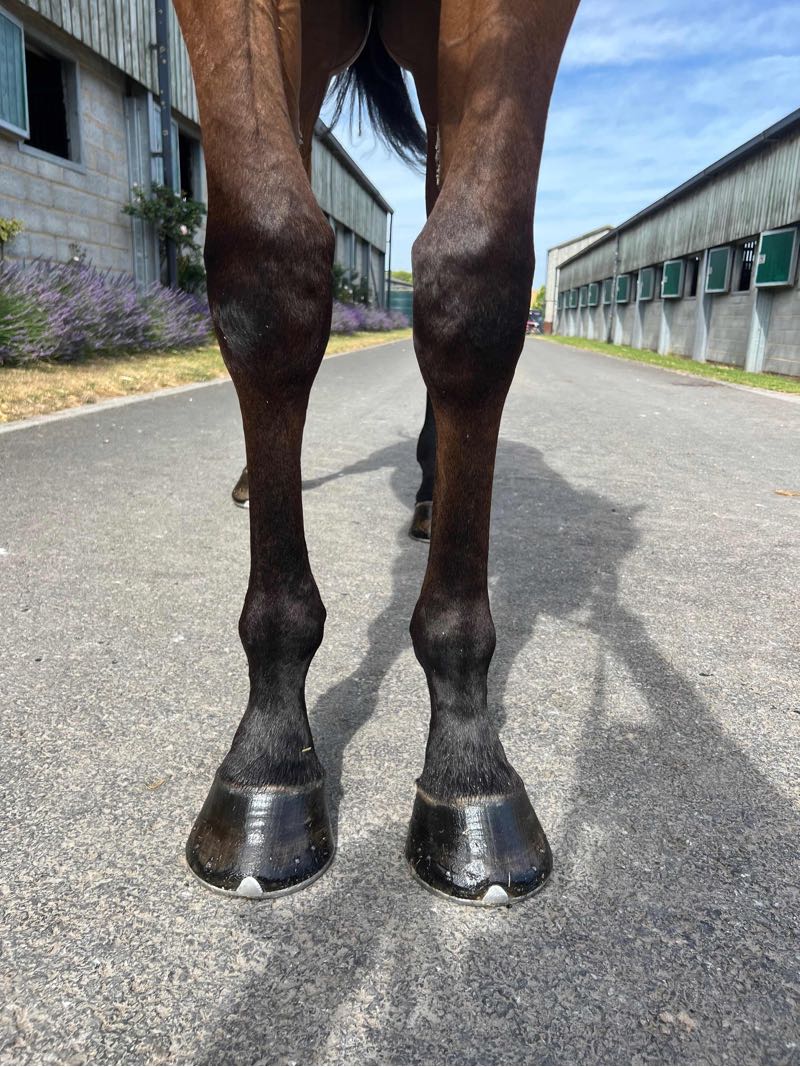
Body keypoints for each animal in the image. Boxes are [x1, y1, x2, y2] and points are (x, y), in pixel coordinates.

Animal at [175, 0, 580, 906]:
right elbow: (268, 265)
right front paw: (268, 757)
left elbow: (474, 282)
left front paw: (469, 765)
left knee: (438, 201)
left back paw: (431, 496)